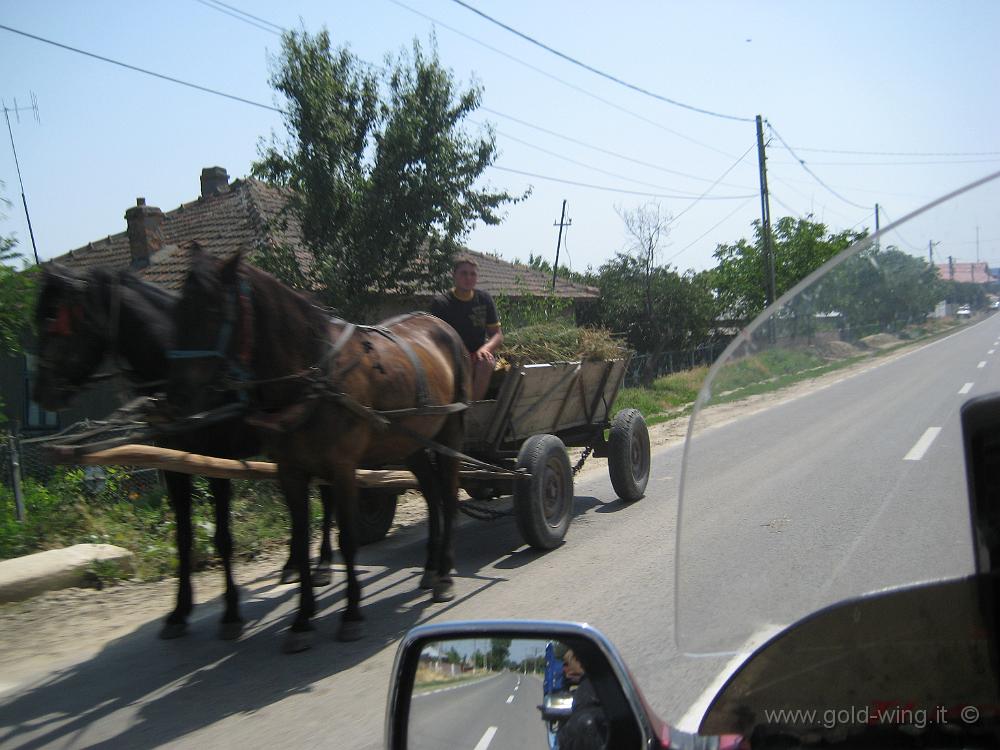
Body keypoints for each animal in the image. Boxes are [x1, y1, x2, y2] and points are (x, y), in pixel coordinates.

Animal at [33, 264, 338, 640]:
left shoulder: (216, 462)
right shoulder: (173, 464)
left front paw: (231, 613)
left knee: (327, 496)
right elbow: (183, 537)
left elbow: (223, 538)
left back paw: (323, 563)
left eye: (55, 322)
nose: (41, 393)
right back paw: (294, 565)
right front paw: (179, 612)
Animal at [169, 251, 472, 652]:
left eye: (213, 309)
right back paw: (430, 568)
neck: (312, 376)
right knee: (432, 493)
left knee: (449, 494)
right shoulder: (289, 471)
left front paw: (351, 614)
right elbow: (300, 540)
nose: (176, 398)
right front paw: (301, 621)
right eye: (178, 310)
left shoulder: (342, 467)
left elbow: (348, 539)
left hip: (451, 431)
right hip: (411, 441)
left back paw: (445, 576)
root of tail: (443, 327)